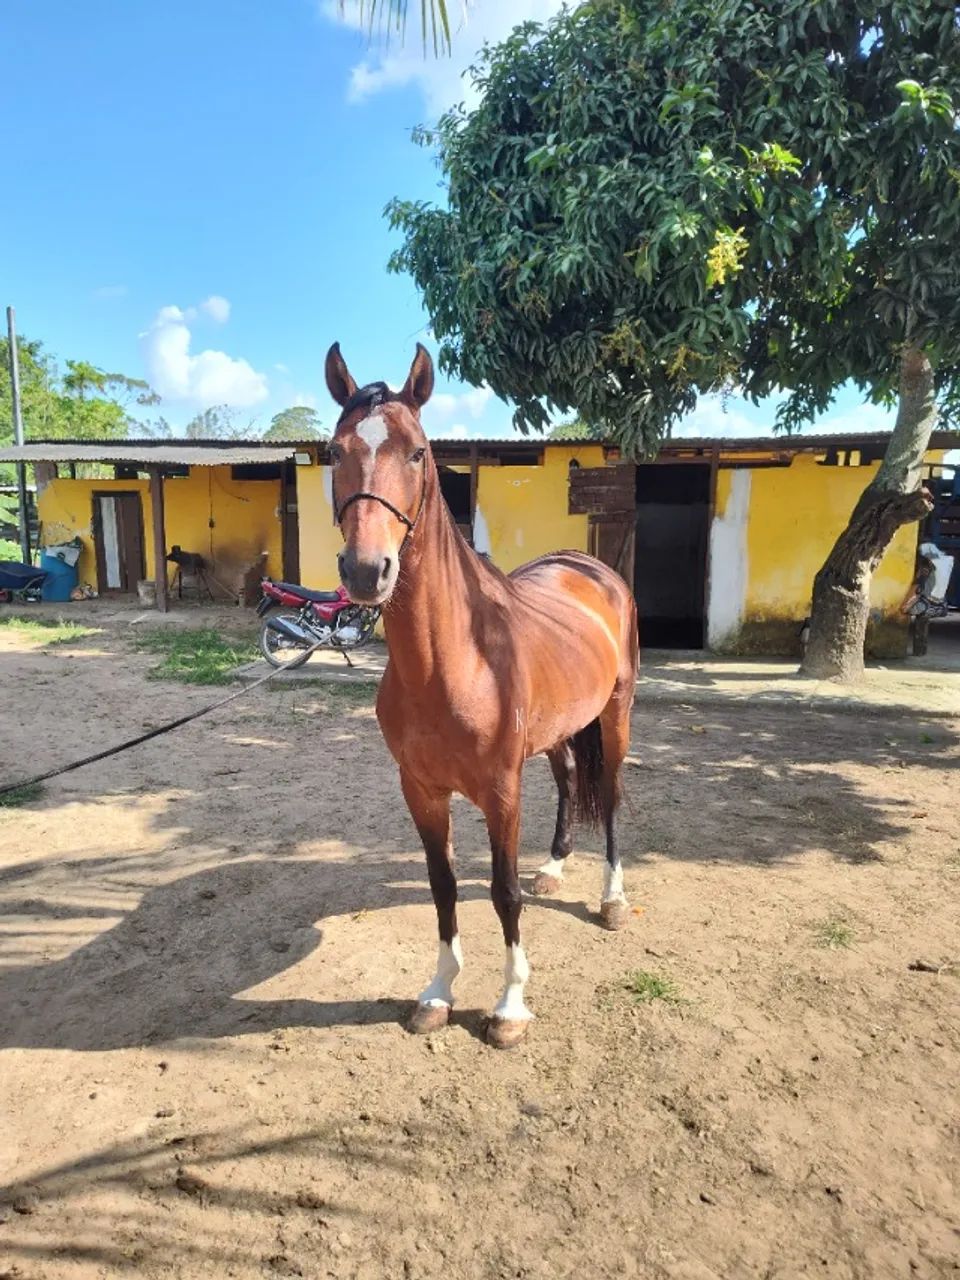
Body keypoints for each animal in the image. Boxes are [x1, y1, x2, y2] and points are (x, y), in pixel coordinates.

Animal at [325, 343, 638, 1049]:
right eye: (333, 451)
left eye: (417, 452)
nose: (366, 571)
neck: (454, 660)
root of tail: (589, 565)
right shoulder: (421, 790)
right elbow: (443, 886)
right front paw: (439, 992)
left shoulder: (501, 789)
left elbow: (502, 893)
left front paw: (510, 1005)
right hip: (557, 732)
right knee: (569, 776)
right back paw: (554, 866)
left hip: (616, 715)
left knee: (608, 796)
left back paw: (612, 899)